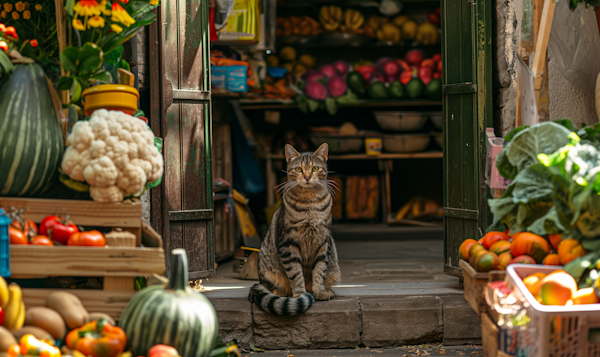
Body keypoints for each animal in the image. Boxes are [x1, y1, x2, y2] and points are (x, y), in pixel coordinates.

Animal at [248, 142, 342, 314]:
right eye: (299, 169)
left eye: (315, 168)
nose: (307, 177)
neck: (310, 203)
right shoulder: (288, 244)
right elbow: (296, 273)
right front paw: (299, 294)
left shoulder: (323, 242)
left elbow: (319, 270)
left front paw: (319, 291)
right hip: (267, 268)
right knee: (272, 288)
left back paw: (326, 290)